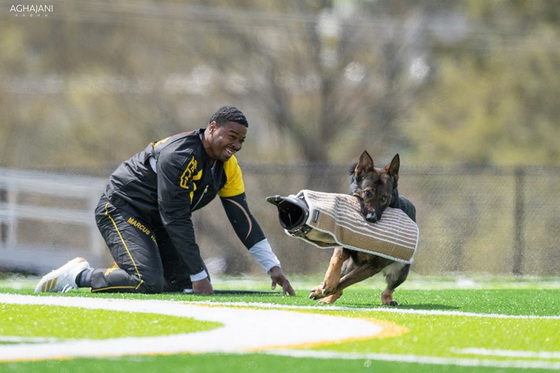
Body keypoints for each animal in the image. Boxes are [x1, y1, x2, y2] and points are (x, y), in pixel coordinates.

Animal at [308, 150, 418, 306]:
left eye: (384, 198)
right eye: (367, 193)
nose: (372, 218)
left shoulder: (372, 267)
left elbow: (345, 281)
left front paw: (327, 287)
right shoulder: (344, 248)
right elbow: (336, 261)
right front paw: (327, 283)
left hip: (400, 272)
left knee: (387, 289)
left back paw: (387, 299)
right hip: (350, 265)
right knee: (341, 280)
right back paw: (326, 295)